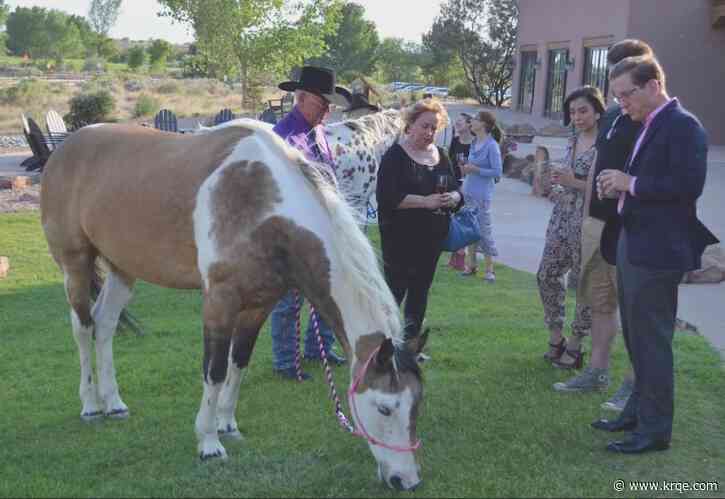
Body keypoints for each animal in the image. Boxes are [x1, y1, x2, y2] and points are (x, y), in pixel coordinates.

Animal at [39, 120, 424, 492]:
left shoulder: (259, 305)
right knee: (83, 327)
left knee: (104, 325)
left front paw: (227, 424)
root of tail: (64, 149)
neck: (262, 204)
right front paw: (208, 443)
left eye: (416, 404)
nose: (406, 481)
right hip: (75, 263)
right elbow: (215, 370)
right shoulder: (219, 302)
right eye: (385, 408)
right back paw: (91, 405)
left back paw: (114, 403)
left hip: (123, 268)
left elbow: (239, 362)